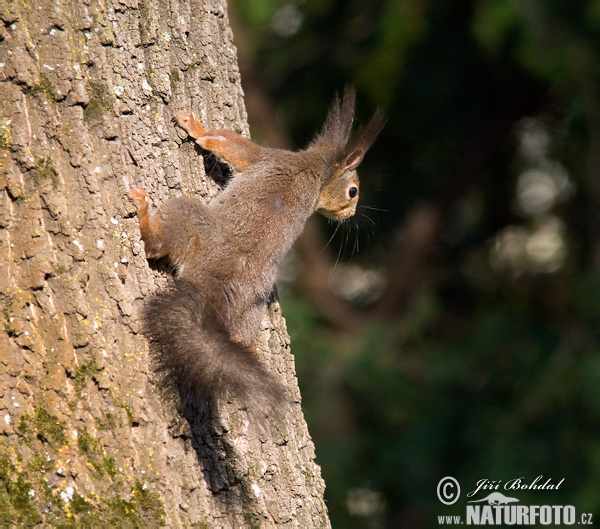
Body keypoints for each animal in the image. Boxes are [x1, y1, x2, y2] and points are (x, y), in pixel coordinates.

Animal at [126, 86, 384, 420]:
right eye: (353, 191)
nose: (350, 214)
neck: (315, 167)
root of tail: (211, 283)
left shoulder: (264, 157)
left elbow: (224, 143)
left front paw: (194, 126)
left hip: (188, 220)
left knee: (156, 245)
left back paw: (143, 214)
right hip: (252, 305)